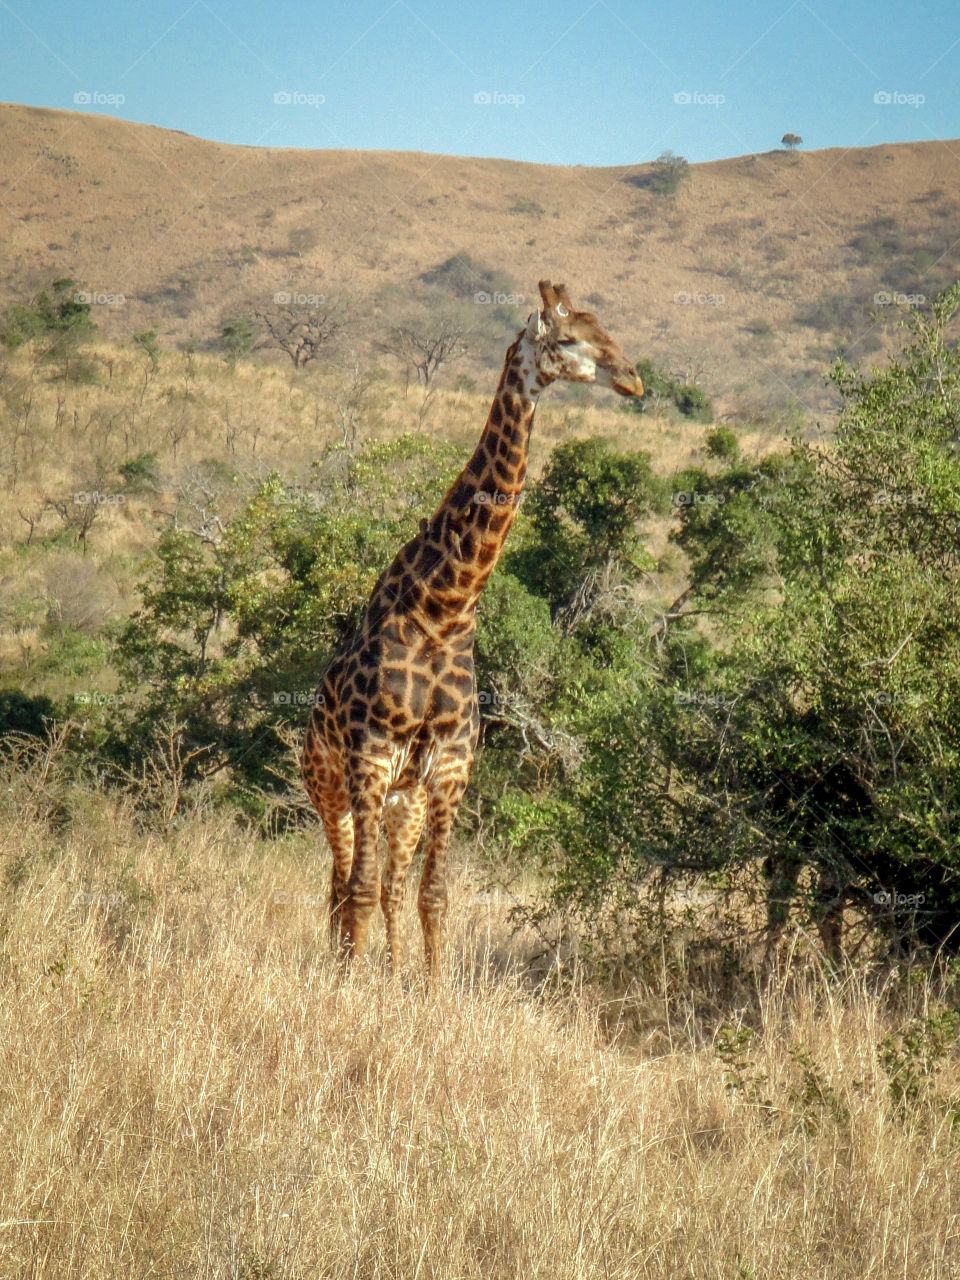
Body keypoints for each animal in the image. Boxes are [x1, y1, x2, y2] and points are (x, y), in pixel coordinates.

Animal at [300, 275, 647, 962]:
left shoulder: (451, 766)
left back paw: (386, 969)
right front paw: (348, 984)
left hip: (400, 800)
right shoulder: (370, 756)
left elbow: (432, 896)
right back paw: (340, 965)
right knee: (341, 885)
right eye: (570, 338)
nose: (634, 379)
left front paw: (421, 987)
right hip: (330, 788)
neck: (445, 608)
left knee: (384, 888)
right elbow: (358, 892)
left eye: (606, 329)